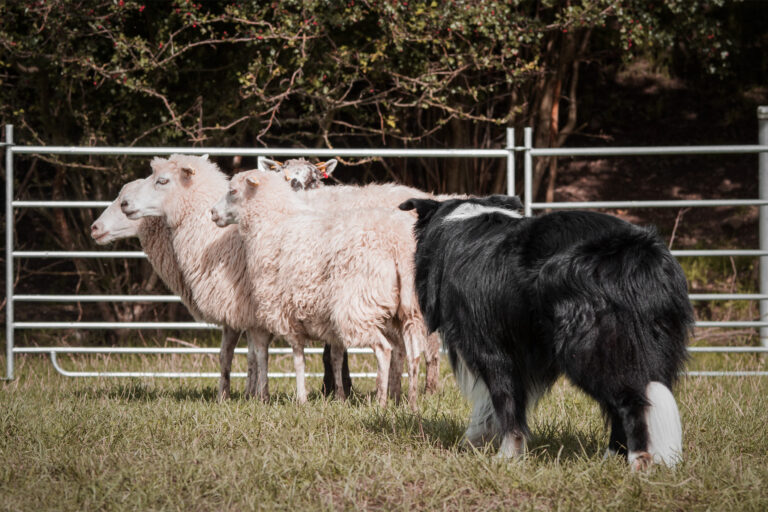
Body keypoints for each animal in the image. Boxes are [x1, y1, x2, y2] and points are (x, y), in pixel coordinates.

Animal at [88, 179, 264, 400]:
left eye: (124, 202)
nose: (94, 227)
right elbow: (246, 354)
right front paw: (247, 395)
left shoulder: (237, 307)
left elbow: (240, 355)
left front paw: (235, 396)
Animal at [212, 169, 426, 408]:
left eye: (233, 191)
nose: (212, 212)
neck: (273, 224)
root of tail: (397, 244)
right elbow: (327, 356)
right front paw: (331, 397)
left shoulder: (284, 311)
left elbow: (298, 358)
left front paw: (301, 399)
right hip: (409, 309)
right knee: (414, 354)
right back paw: (412, 403)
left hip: (357, 305)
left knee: (383, 349)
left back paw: (380, 402)